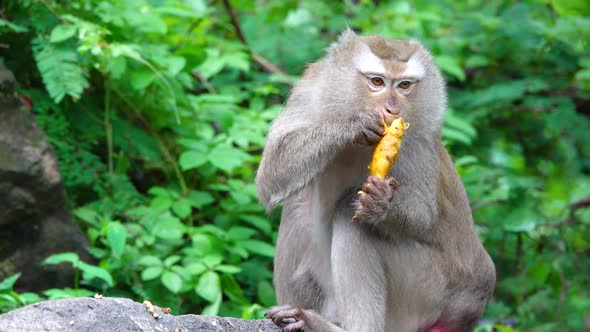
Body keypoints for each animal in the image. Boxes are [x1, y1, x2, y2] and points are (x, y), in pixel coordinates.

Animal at [256, 29, 498, 332]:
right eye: (377, 82)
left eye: (404, 85)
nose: (392, 109)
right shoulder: (311, 92)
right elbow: (272, 172)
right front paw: (354, 123)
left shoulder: (421, 131)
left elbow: (422, 214)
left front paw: (383, 204)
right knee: (298, 205)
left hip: (425, 289)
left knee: (350, 213)